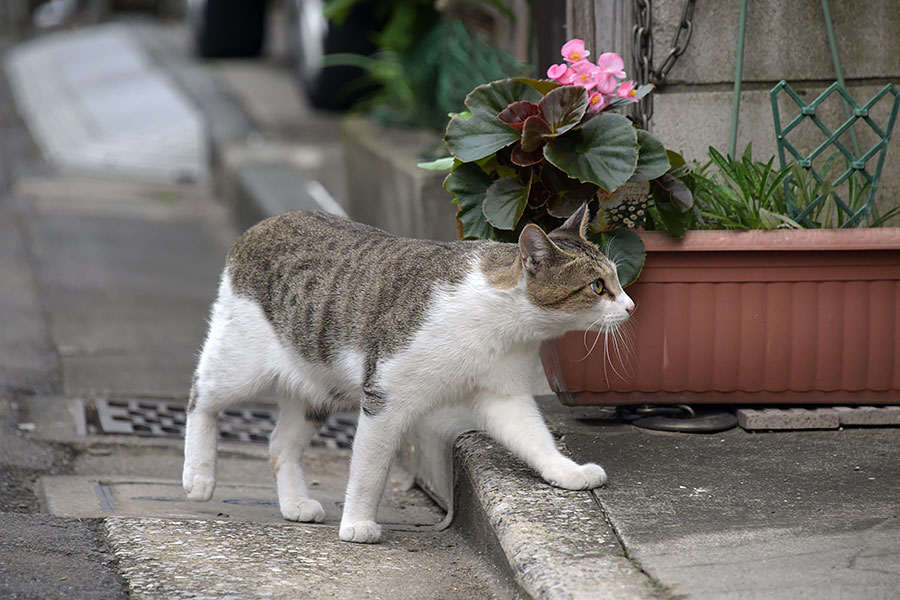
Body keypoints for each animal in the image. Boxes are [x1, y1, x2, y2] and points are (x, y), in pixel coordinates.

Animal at [181, 202, 632, 544]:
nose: (630, 307)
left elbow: (535, 439)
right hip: (240, 364)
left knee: (279, 445)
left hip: (319, 389)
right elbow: (370, 469)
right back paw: (198, 475)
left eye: (617, 280)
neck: (502, 323)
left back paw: (294, 503)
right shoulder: (385, 398)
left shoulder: (502, 395)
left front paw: (566, 472)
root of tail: (266, 222)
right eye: (597, 286)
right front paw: (358, 524)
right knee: (201, 395)